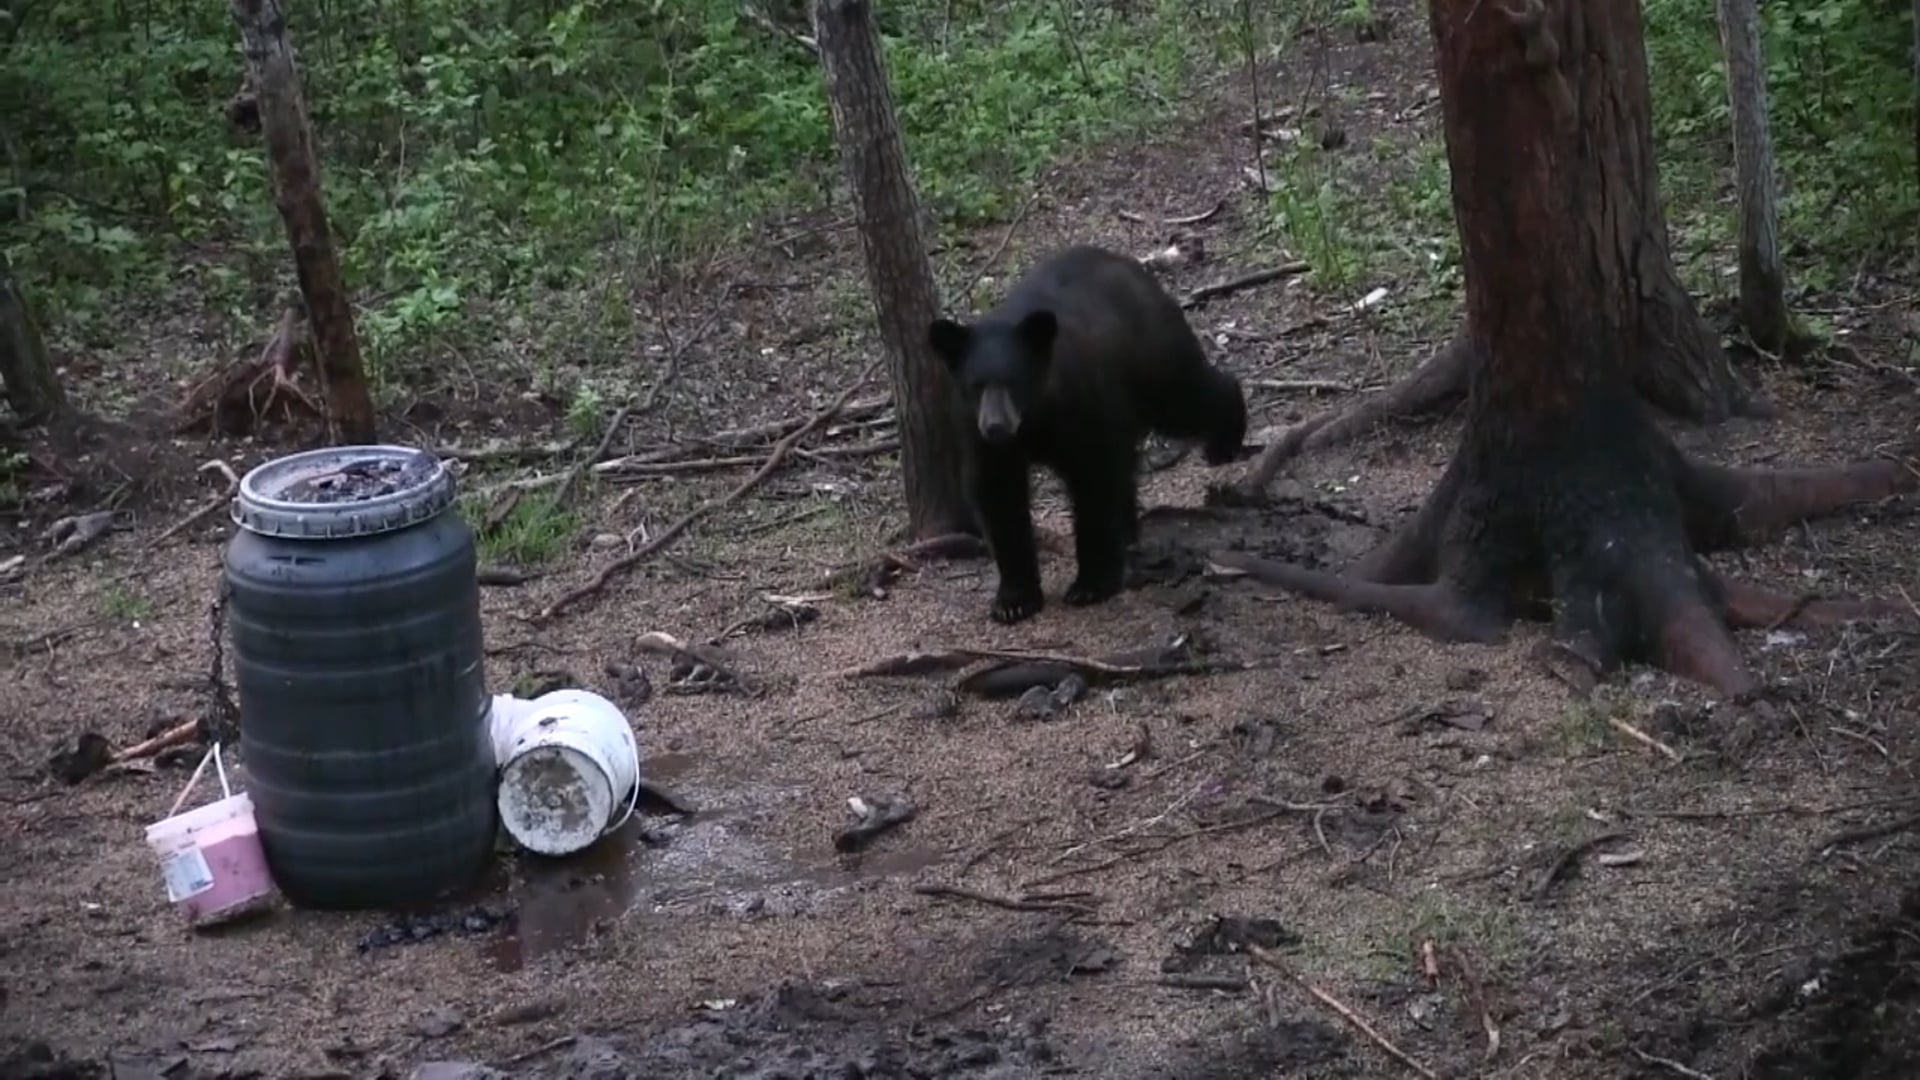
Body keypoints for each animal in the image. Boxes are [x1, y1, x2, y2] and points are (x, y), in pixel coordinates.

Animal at [927, 243, 1249, 625]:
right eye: (975, 385)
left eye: (1013, 381)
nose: (996, 426)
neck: (1035, 419)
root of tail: (1134, 268)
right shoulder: (976, 434)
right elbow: (999, 497)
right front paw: (1014, 599)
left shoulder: (1082, 406)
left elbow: (1094, 479)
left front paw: (1091, 584)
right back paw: (1129, 529)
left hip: (1152, 357)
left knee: (1186, 397)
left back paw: (1225, 440)